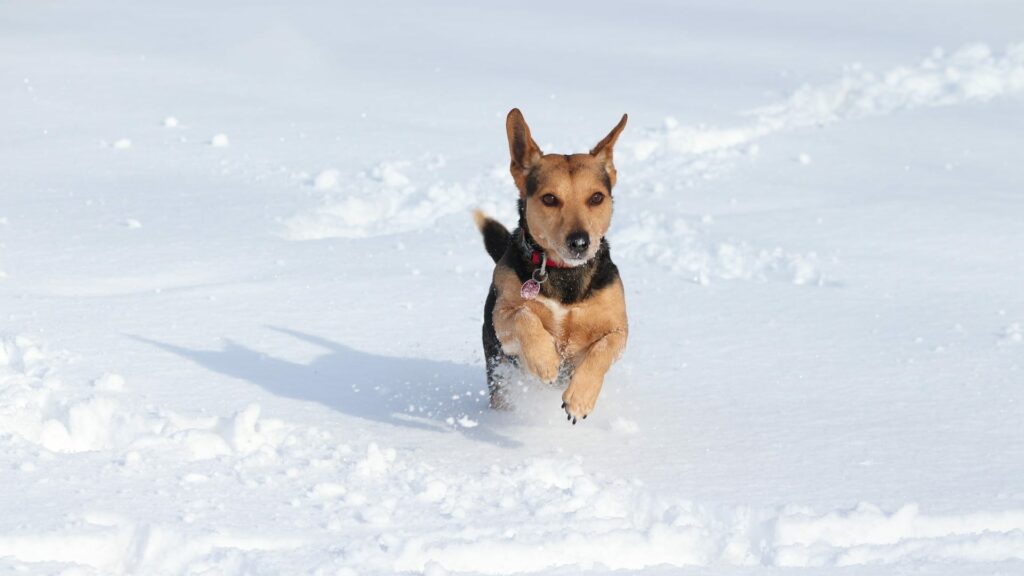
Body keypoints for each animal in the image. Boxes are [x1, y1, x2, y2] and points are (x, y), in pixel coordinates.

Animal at [473, 106, 630, 422]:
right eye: (549, 198)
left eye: (597, 197)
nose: (580, 242)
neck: (564, 274)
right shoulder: (502, 321)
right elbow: (523, 314)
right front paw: (545, 359)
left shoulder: (620, 330)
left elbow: (603, 348)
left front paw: (580, 398)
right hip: (499, 370)